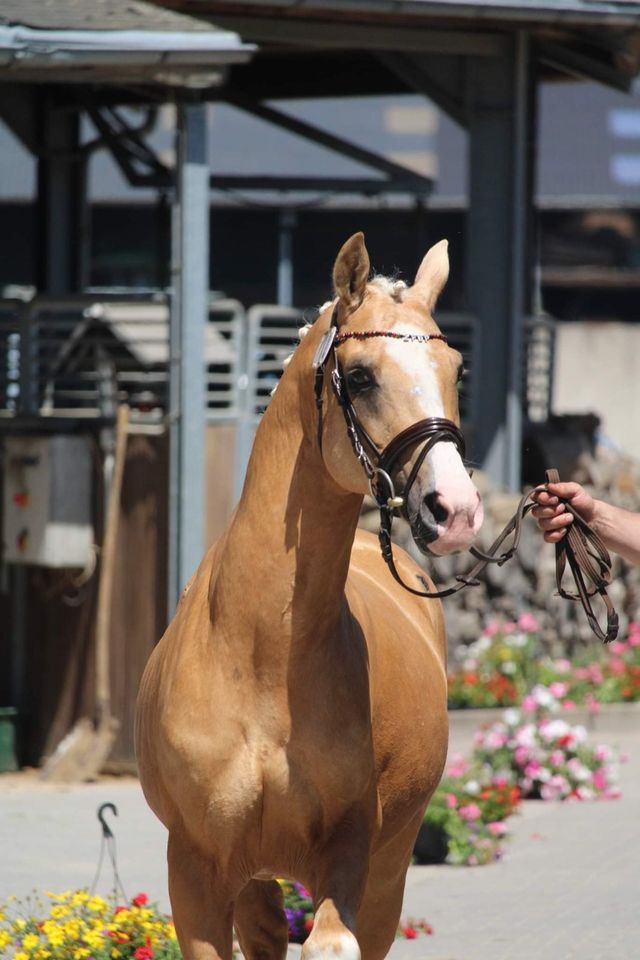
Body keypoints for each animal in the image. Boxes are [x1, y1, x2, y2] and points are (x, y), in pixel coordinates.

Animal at [138, 232, 482, 960]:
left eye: (456, 368)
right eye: (361, 377)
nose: (456, 510)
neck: (262, 653)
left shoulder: (351, 853)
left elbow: (331, 944)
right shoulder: (196, 870)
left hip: (390, 865)